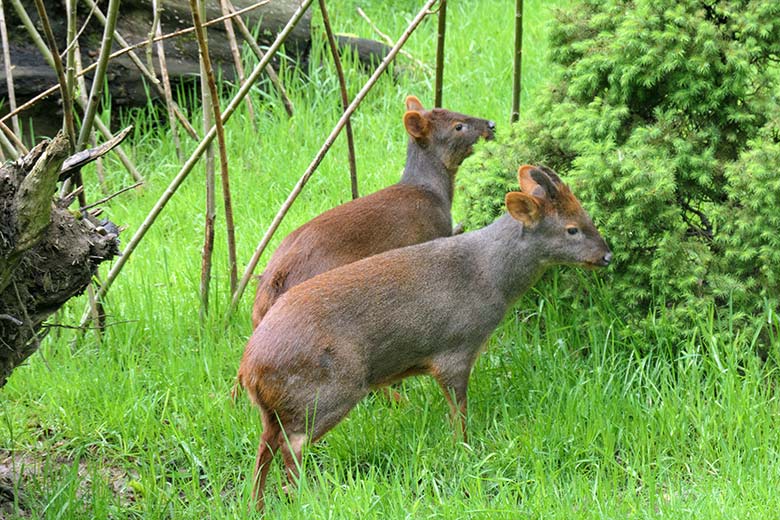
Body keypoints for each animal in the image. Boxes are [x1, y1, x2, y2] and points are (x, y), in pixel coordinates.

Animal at [235, 164, 612, 508]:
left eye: (585, 215)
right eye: (572, 229)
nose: (606, 255)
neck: (491, 276)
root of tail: (249, 370)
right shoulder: (456, 348)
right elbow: (459, 413)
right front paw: (465, 451)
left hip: (278, 407)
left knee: (265, 446)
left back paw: (257, 505)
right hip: (329, 389)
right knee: (291, 446)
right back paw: (304, 498)